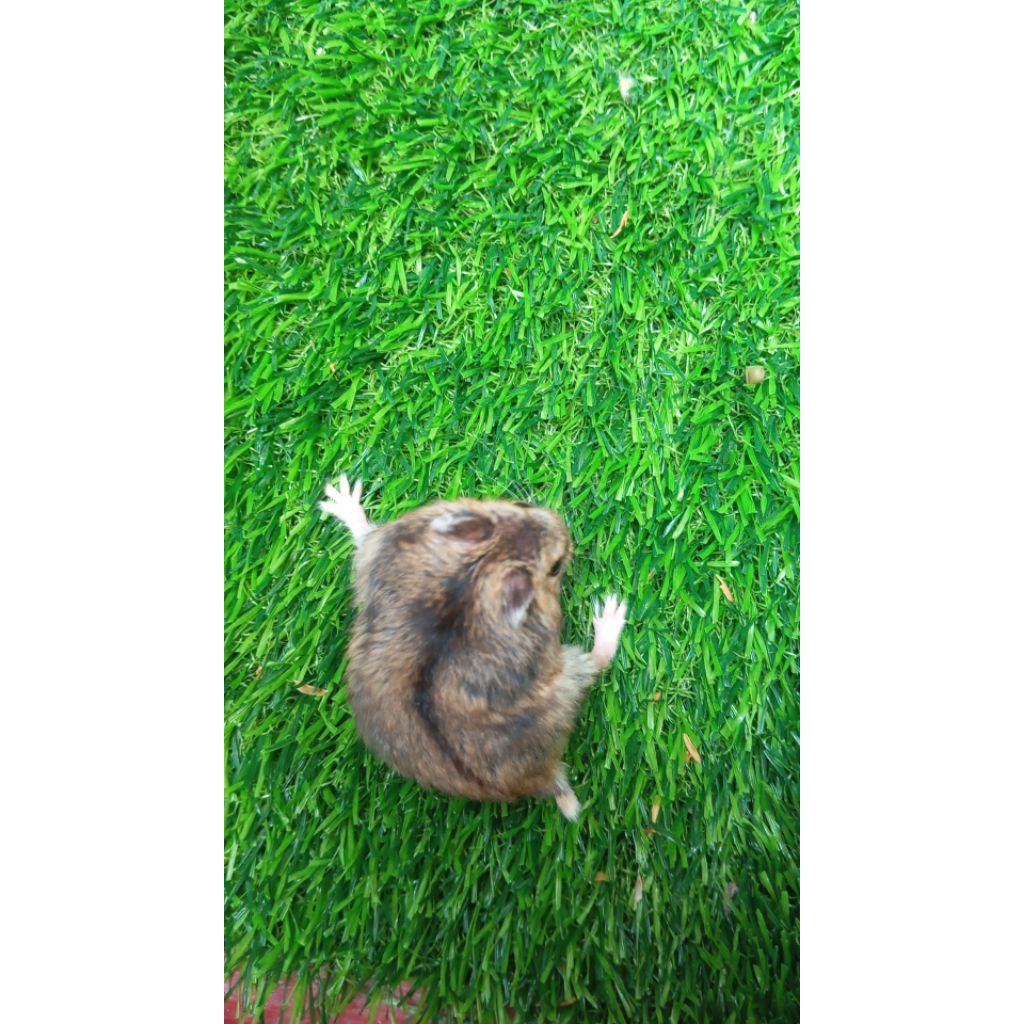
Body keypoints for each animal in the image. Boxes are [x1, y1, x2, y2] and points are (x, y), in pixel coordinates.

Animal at [318, 473, 627, 819]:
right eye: (555, 567)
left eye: (521, 504)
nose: (563, 526)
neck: (479, 570)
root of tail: (542, 779)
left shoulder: (381, 553)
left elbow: (364, 537)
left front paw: (338, 495)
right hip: (565, 676)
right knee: (597, 662)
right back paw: (611, 613)